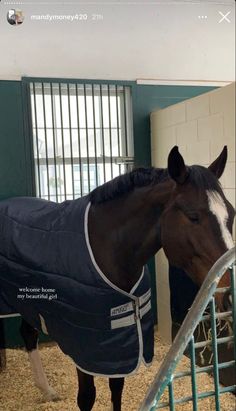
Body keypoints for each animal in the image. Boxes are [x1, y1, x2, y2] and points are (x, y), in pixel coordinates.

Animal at [0, 146, 234, 410]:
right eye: (193, 216)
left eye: (231, 213)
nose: (230, 293)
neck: (106, 248)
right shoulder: (85, 346)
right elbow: (87, 397)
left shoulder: (121, 342)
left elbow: (116, 389)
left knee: (28, 334)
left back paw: (47, 391)